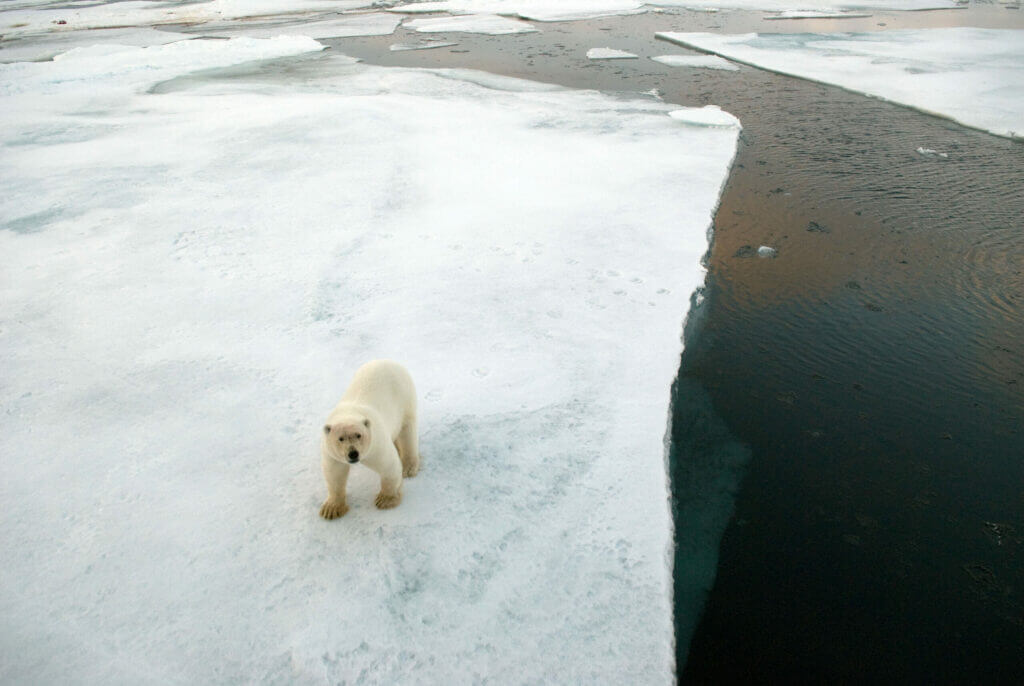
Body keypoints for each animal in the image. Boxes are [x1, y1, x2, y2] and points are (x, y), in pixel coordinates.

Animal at [317, 362, 417, 518]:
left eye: (359, 435)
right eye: (341, 438)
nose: (353, 454)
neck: (349, 412)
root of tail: (388, 361)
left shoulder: (376, 444)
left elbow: (388, 465)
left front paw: (385, 500)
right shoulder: (331, 452)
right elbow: (334, 473)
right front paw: (331, 509)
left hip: (405, 397)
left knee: (407, 431)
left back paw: (408, 467)